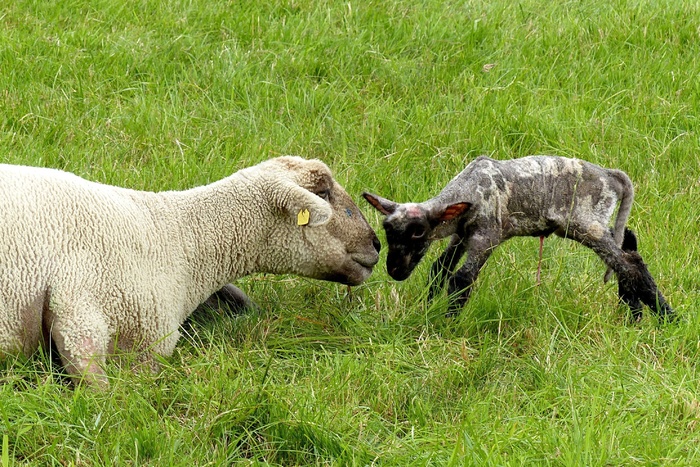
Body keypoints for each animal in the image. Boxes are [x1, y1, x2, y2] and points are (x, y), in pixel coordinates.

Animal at [360, 155, 672, 320]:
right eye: (387, 229)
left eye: (418, 231)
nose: (395, 270)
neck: (467, 191)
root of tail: (610, 175)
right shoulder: (462, 234)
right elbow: (440, 269)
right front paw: (427, 309)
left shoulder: (487, 235)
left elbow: (461, 278)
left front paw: (447, 322)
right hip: (597, 225)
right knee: (629, 255)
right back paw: (638, 314)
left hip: (587, 224)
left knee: (629, 265)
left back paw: (663, 318)